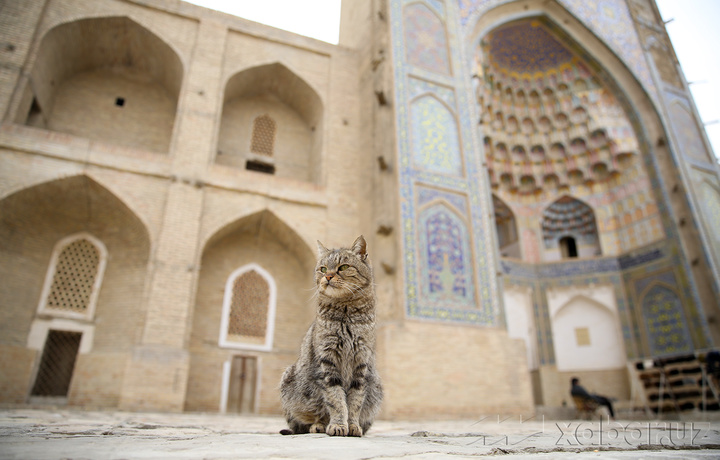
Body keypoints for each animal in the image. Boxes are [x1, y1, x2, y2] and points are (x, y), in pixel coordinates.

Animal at [280, 235, 382, 436]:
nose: (327, 276)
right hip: (290, 380)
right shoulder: (328, 361)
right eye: (323, 269)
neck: (346, 312)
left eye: (343, 267)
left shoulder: (361, 362)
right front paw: (338, 425)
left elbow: (355, 402)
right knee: (306, 421)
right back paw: (318, 425)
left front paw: (353, 426)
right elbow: (335, 399)